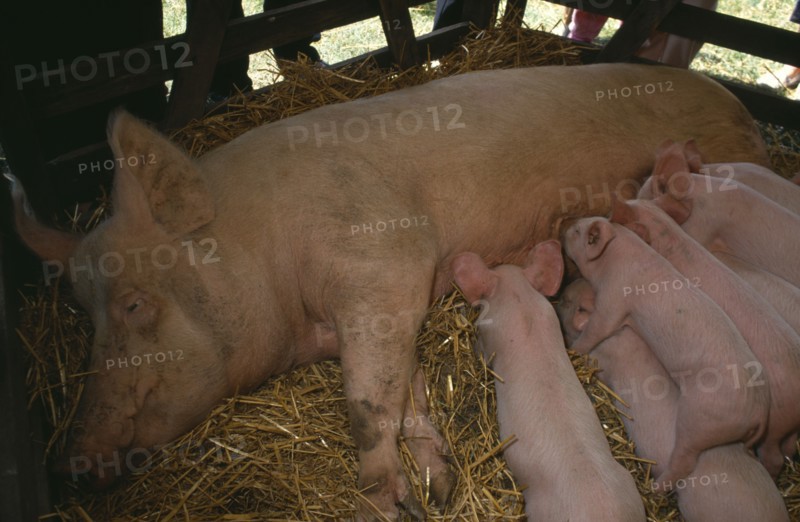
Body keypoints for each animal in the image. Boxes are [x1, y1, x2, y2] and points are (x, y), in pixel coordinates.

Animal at [563, 216, 769, 489]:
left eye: (577, 231)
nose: (563, 230)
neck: (612, 259)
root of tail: (759, 410)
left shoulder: (613, 300)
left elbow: (597, 330)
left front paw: (572, 350)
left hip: (700, 418)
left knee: (685, 461)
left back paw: (655, 487)